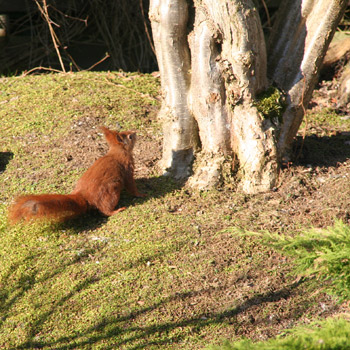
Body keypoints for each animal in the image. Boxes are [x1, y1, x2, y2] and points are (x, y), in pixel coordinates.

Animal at [8, 126, 145, 224]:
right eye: (130, 136)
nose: (135, 131)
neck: (118, 152)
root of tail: (84, 196)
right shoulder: (127, 169)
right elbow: (131, 185)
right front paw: (141, 194)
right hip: (111, 191)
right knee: (105, 210)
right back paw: (117, 210)